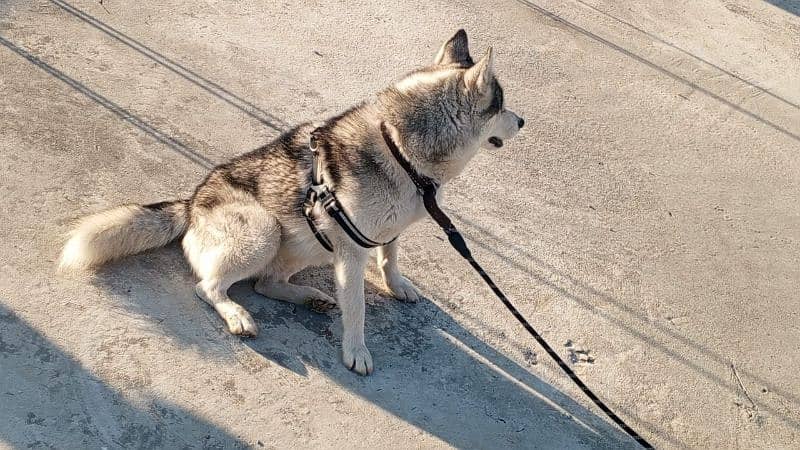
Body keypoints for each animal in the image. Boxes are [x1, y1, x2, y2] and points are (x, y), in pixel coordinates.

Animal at [59, 29, 520, 374]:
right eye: (500, 105)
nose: (523, 121)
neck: (398, 146)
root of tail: (191, 204)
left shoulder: (386, 233)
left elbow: (390, 258)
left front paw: (397, 285)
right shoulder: (351, 251)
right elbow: (356, 307)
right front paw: (357, 350)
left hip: (310, 244)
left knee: (265, 282)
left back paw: (307, 297)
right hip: (265, 231)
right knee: (208, 286)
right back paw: (236, 313)